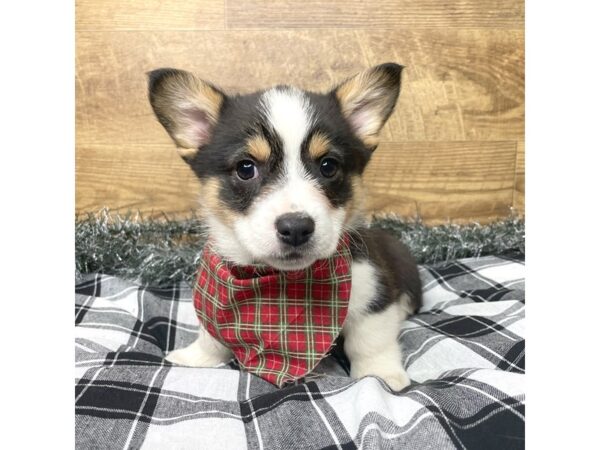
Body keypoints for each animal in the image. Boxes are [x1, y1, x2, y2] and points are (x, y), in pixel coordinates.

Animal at [148, 62, 424, 390]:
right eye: (246, 168)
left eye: (328, 166)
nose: (296, 228)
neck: (280, 284)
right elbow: (211, 335)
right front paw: (195, 357)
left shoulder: (374, 292)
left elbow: (371, 340)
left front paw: (380, 374)